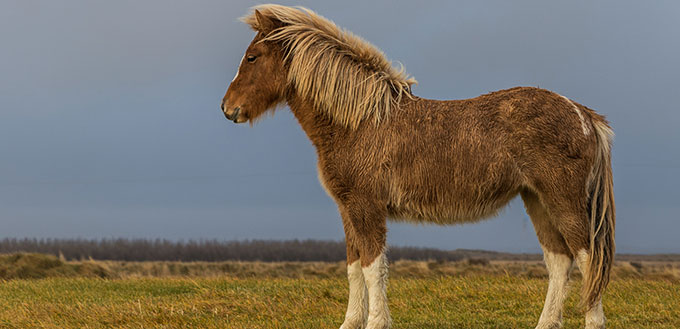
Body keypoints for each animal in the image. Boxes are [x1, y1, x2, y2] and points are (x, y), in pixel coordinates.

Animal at [222, 5, 616, 328]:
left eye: (253, 57)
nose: (228, 108)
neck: (359, 122)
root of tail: (583, 113)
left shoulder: (367, 206)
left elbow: (373, 267)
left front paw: (376, 323)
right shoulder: (348, 209)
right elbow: (353, 267)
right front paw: (352, 322)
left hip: (562, 199)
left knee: (587, 258)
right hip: (536, 200)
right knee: (559, 261)